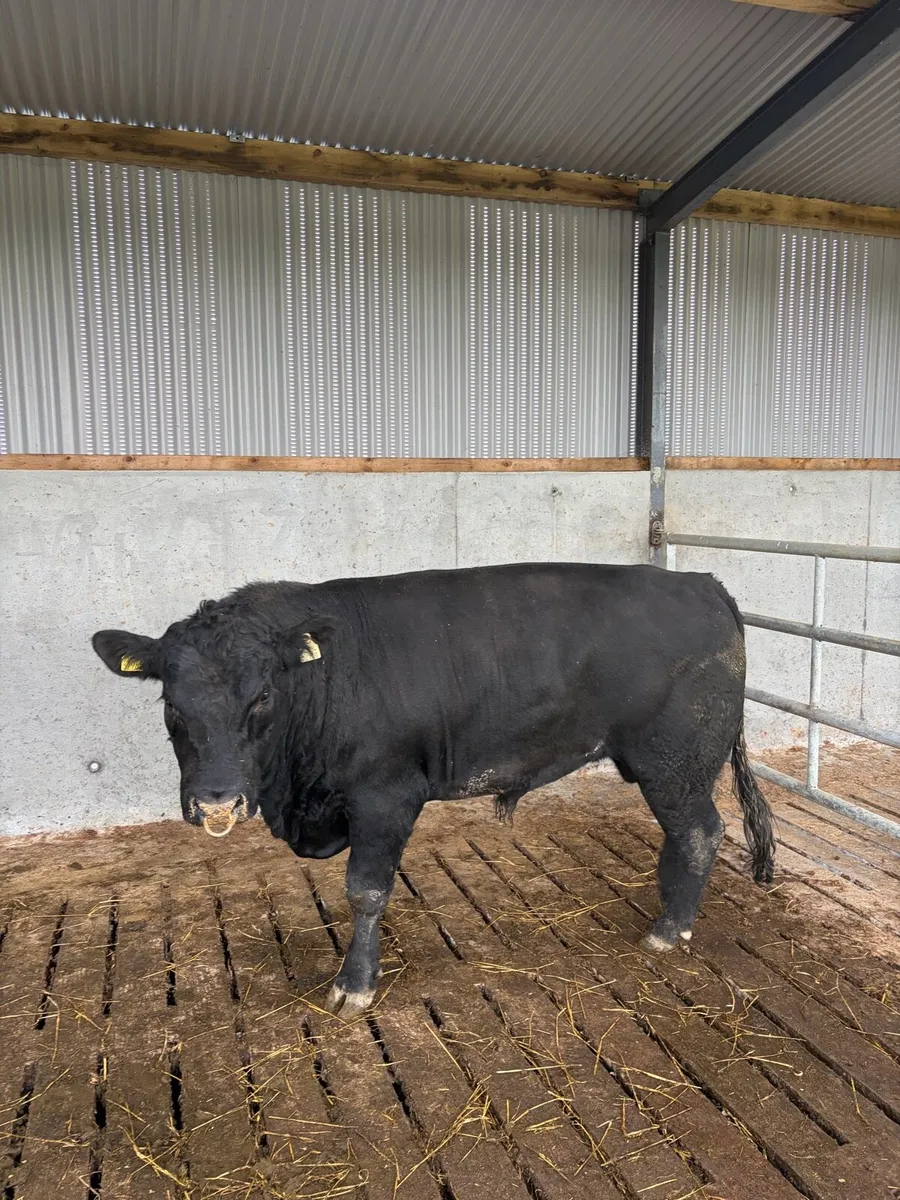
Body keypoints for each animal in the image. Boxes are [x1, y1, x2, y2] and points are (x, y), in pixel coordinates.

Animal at [92, 562, 775, 1016]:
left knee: (701, 831)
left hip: (674, 760)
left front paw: (355, 985)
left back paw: (669, 928)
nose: (217, 800)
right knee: (684, 835)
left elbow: (365, 892)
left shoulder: (386, 796)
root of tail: (699, 580)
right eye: (171, 704)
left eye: (262, 696)